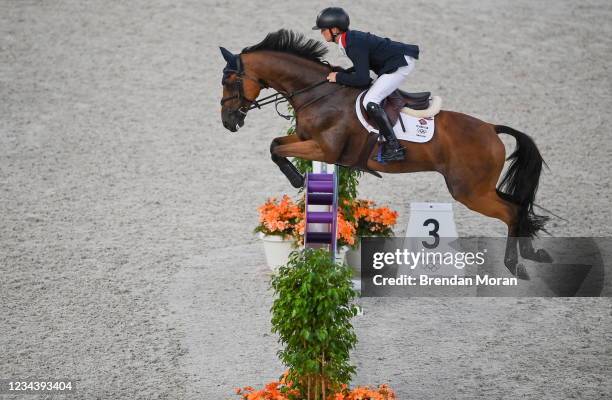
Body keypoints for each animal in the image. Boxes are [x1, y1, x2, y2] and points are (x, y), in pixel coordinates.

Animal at [219, 29, 548, 280]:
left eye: (229, 81)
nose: (228, 122)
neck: (318, 92)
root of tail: (491, 129)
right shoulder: (305, 139)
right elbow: (275, 144)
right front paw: (297, 177)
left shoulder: (324, 148)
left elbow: (276, 149)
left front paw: (297, 179)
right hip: (479, 188)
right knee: (518, 206)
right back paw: (533, 252)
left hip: (469, 191)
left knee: (510, 212)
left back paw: (515, 265)